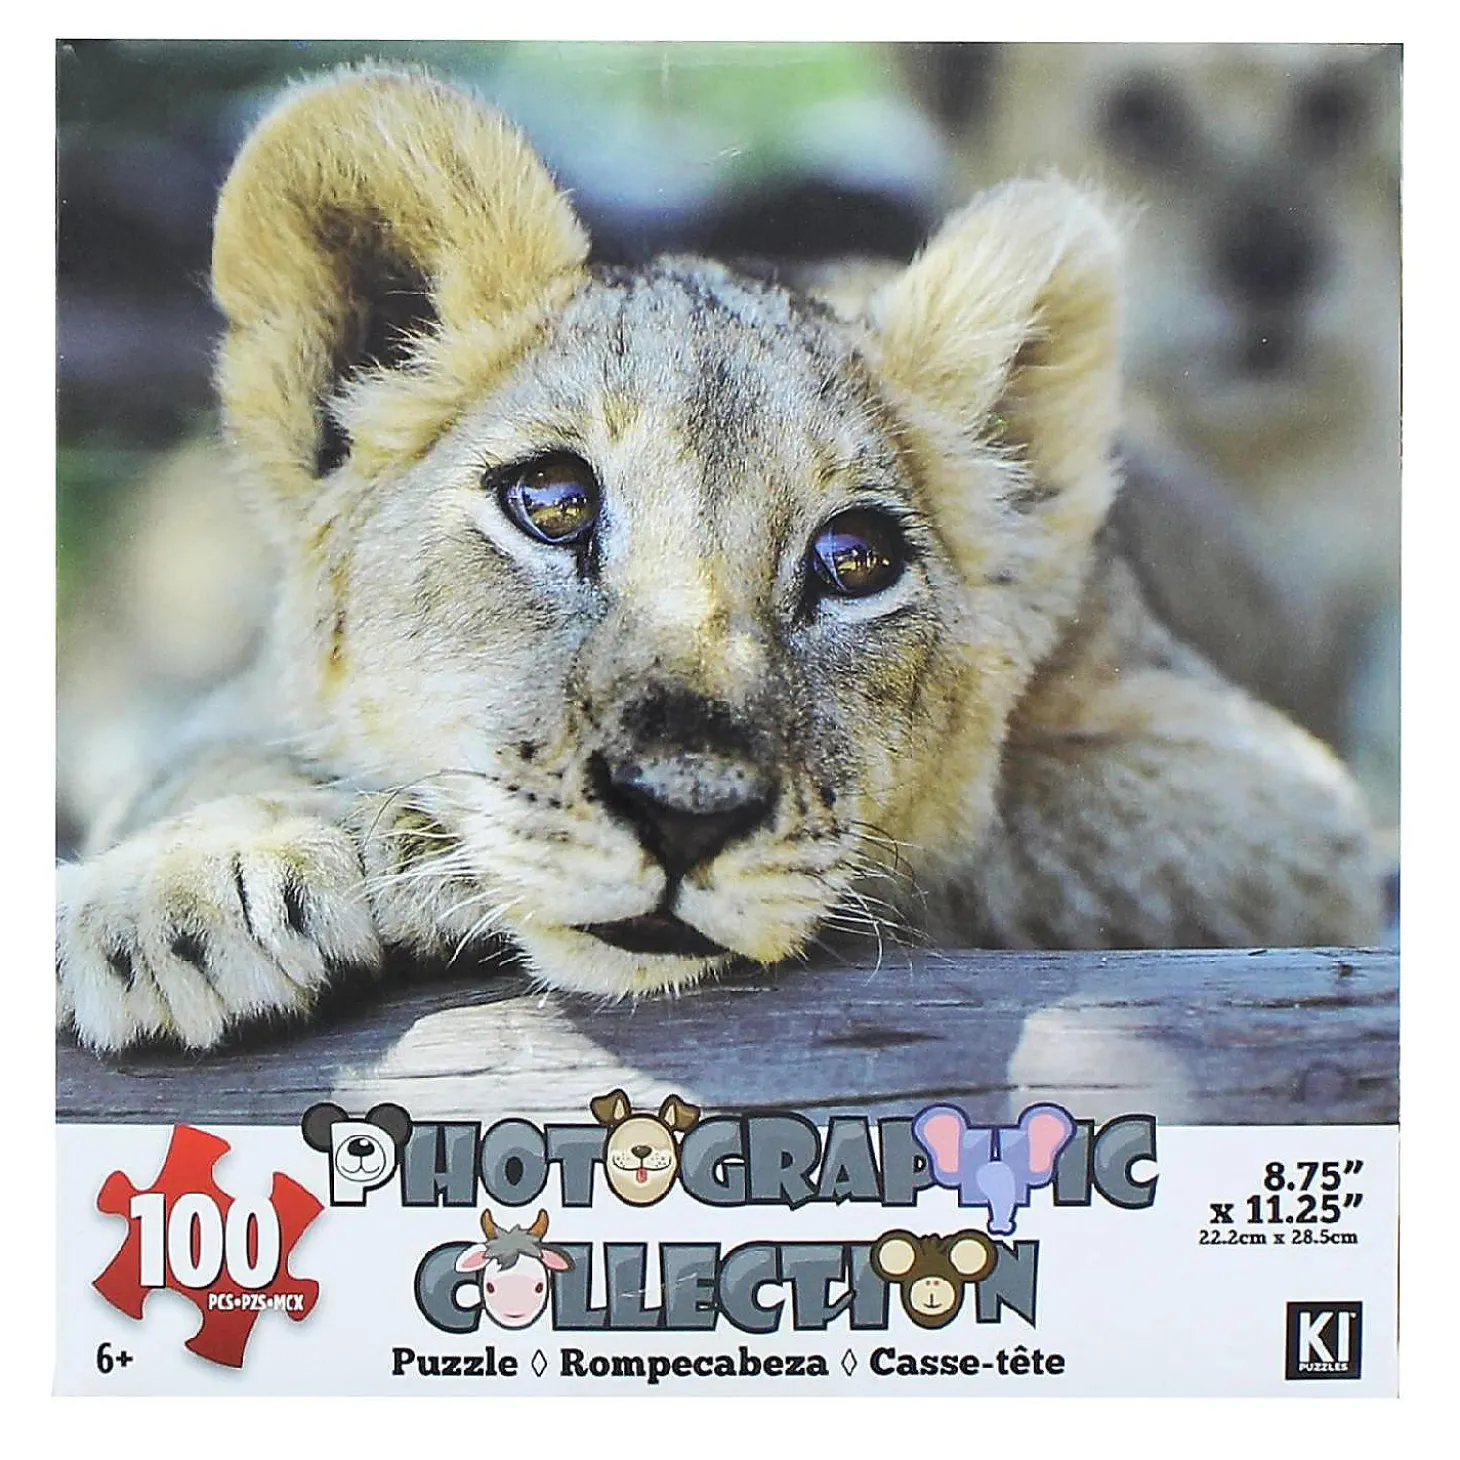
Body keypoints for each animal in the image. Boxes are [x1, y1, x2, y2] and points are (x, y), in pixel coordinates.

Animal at [54, 66, 1380, 1054]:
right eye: (550, 503)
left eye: (854, 559)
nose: (682, 815)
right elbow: (189, 761)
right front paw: (183, 889)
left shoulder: (1279, 807)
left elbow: (984, 824)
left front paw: (415, 857)